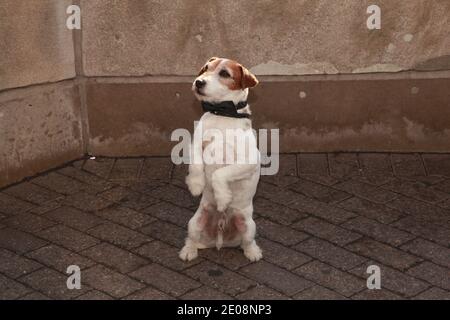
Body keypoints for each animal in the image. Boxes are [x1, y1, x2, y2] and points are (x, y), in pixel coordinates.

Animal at [179, 57, 264, 262]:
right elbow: (195, 165)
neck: (223, 113)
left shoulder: (249, 161)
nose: (199, 82)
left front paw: (223, 197)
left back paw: (253, 253)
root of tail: (219, 239)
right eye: (205, 69)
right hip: (194, 222)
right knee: (192, 239)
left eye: (224, 73)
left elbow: (220, 173)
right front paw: (196, 185)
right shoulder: (196, 144)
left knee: (247, 242)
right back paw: (188, 251)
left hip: (248, 226)